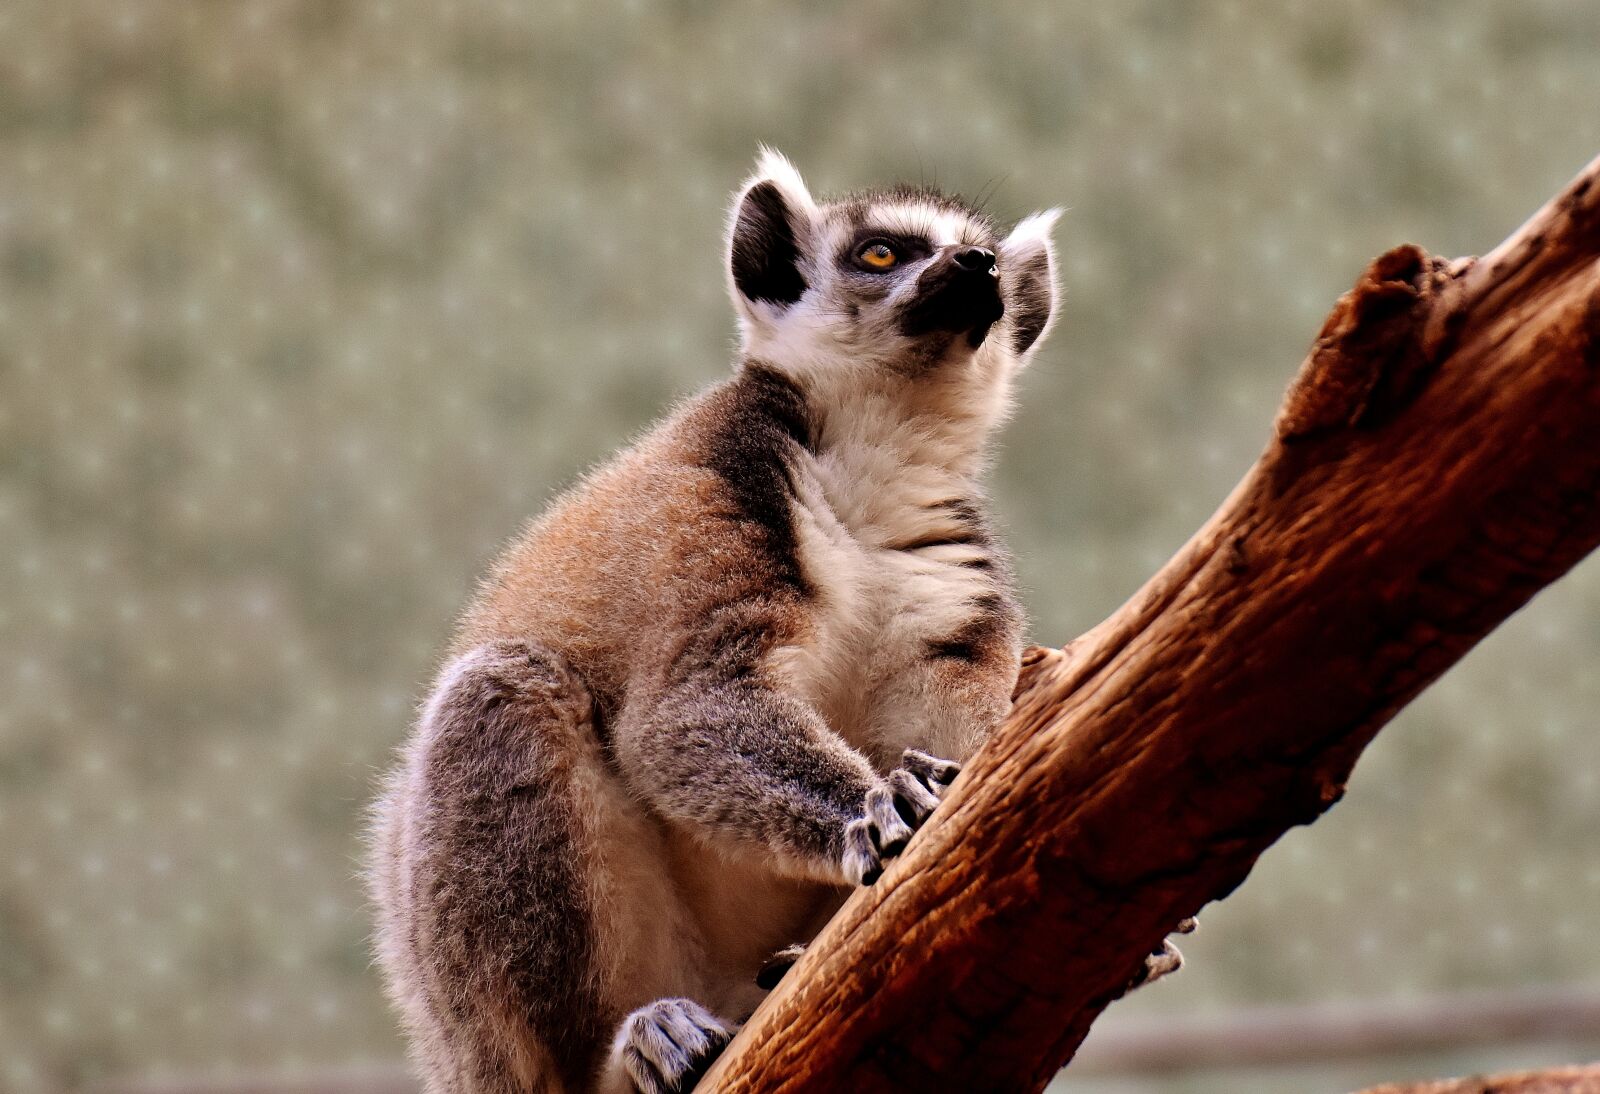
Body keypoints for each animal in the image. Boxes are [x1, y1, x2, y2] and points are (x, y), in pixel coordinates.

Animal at [368, 149, 1162, 1094]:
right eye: (882, 253)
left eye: (989, 263)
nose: (974, 269)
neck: (872, 461)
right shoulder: (717, 507)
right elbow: (683, 716)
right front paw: (880, 807)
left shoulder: (945, 580)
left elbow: (958, 731)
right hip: (471, 994)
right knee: (501, 691)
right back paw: (630, 1046)